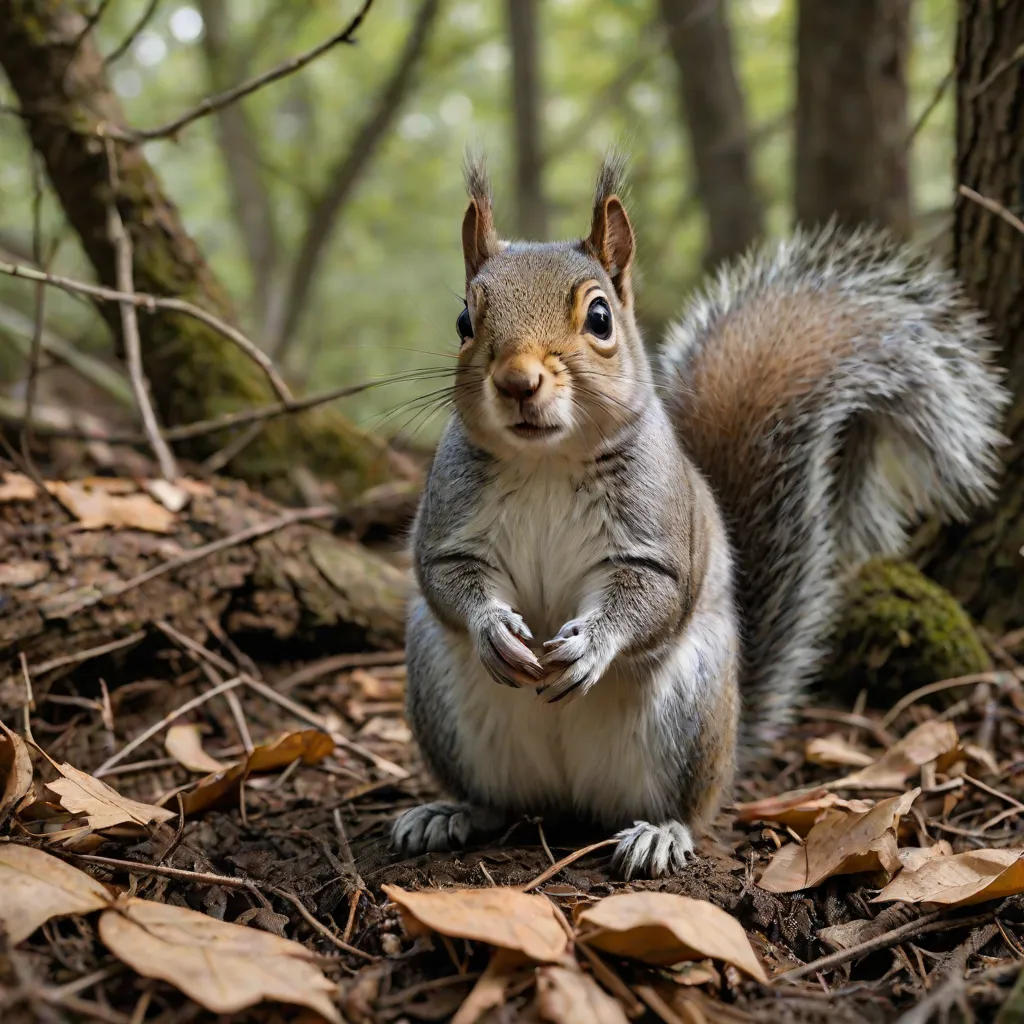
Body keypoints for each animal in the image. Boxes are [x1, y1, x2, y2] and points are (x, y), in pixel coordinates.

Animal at [391, 155, 1006, 878]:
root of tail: (568, 796)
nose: (517, 382)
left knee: (686, 807)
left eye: (600, 318)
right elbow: (443, 574)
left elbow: (653, 596)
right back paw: (451, 813)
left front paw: (591, 645)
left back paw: (660, 832)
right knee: (497, 800)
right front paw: (494, 629)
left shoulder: (658, 534)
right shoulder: (449, 519)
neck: (546, 461)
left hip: (690, 711)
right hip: (441, 697)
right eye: (465, 319)